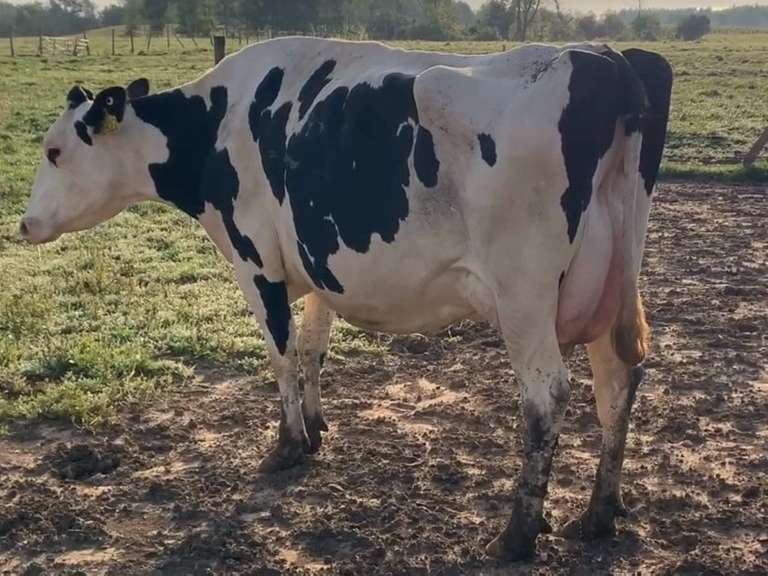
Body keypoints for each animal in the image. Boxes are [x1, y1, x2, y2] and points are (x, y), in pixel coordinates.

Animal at [19, 37, 672, 561]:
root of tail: (605, 58)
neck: (215, 124)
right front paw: (316, 427)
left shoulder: (256, 262)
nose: (24, 225)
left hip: (524, 296)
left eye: (54, 151)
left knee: (547, 397)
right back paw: (599, 513)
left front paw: (287, 445)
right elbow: (312, 349)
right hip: (609, 285)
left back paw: (517, 535)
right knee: (619, 381)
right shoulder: (317, 269)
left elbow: (281, 356)